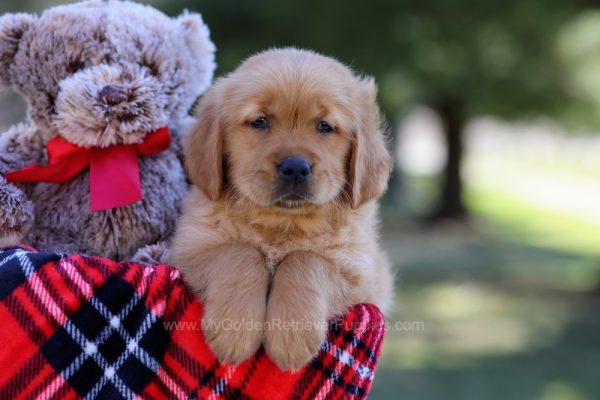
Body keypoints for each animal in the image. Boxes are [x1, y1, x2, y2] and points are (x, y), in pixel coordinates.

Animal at [169, 48, 394, 370]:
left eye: (325, 126)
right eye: (260, 121)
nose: (295, 168)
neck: (282, 224)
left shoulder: (362, 273)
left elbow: (307, 260)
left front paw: (292, 335)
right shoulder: (189, 250)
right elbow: (240, 252)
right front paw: (234, 328)